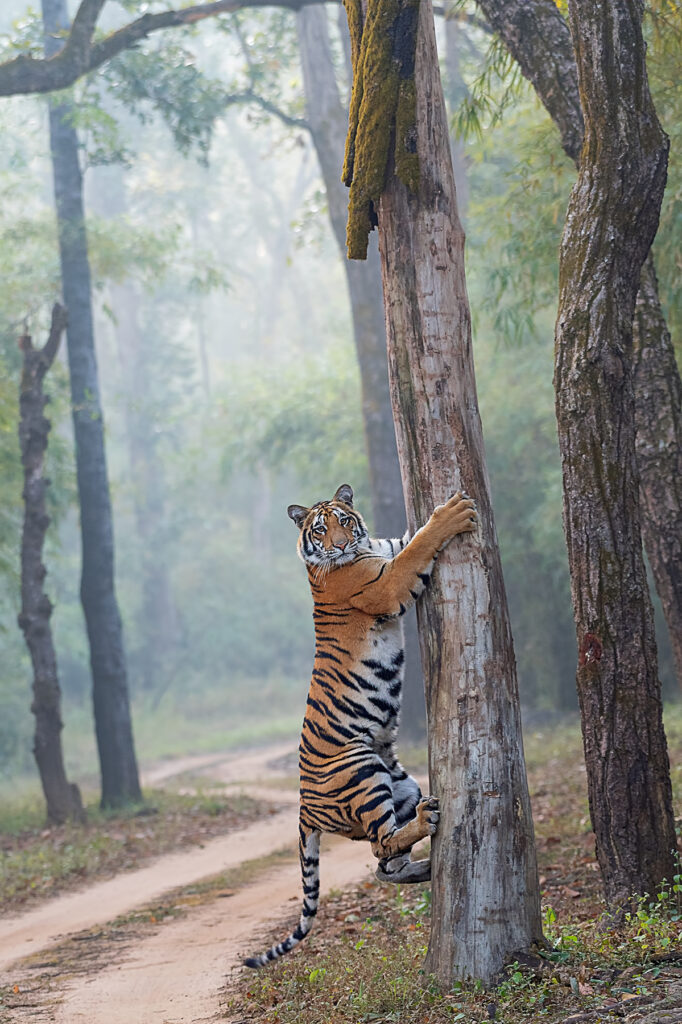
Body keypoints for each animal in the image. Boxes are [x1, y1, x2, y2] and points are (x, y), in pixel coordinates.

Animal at [241, 485, 475, 966]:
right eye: (319, 529)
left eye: (344, 521)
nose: (339, 545)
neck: (364, 549)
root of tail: (303, 807)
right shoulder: (386, 583)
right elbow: (420, 543)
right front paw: (452, 513)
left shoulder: (388, 550)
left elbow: (408, 538)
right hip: (362, 770)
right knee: (381, 843)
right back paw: (428, 824)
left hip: (401, 784)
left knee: (383, 862)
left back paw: (425, 867)